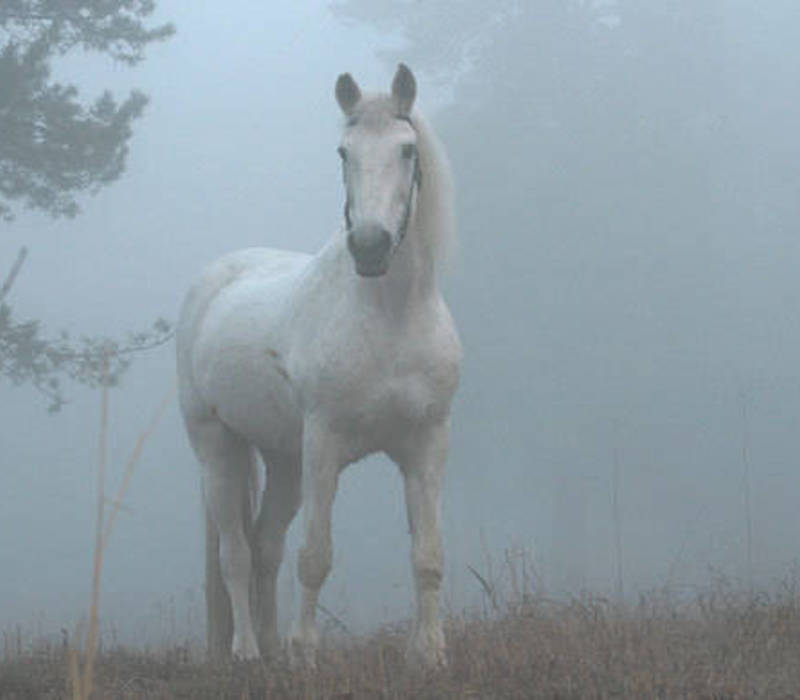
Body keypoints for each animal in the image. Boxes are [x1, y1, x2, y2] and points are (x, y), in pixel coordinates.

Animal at [177, 61, 460, 668]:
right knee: (236, 552)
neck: (389, 316)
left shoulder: (426, 443)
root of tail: (214, 279)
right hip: (218, 446)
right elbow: (315, 556)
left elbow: (428, 554)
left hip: (284, 459)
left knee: (264, 546)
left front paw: (428, 654)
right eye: (343, 151)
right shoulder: (325, 444)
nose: (371, 246)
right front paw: (305, 654)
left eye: (407, 149)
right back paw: (246, 650)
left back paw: (267, 644)